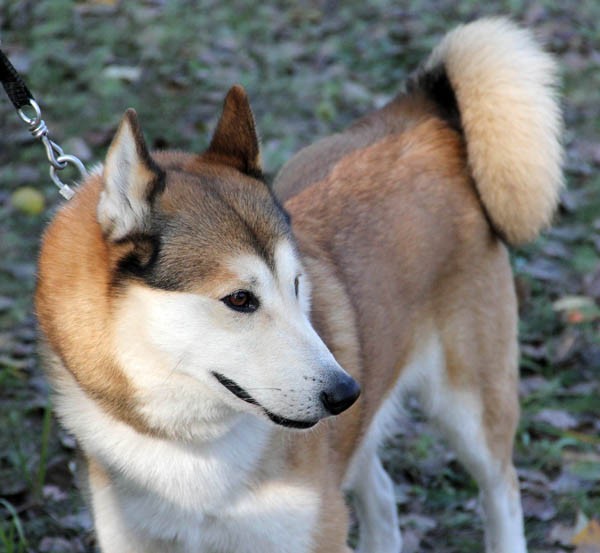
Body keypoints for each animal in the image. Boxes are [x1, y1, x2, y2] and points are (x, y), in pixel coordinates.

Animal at [36, 17, 562, 553]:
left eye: (295, 284)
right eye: (240, 299)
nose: (345, 393)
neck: (190, 443)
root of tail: (422, 112)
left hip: (471, 406)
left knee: (501, 491)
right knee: (383, 491)